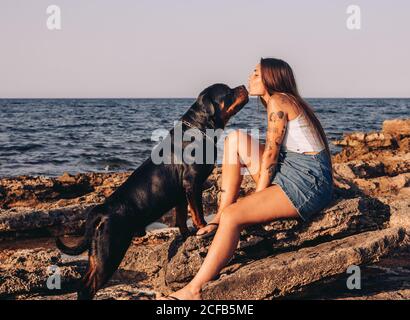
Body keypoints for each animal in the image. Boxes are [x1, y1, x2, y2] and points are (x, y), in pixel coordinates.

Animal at [56, 84, 248, 298]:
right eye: (228, 92)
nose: (243, 86)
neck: (200, 127)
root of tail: (101, 210)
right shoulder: (192, 183)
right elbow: (197, 212)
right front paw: (204, 228)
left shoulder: (181, 194)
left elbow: (182, 217)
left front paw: (187, 235)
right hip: (109, 252)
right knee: (87, 285)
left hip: (97, 254)